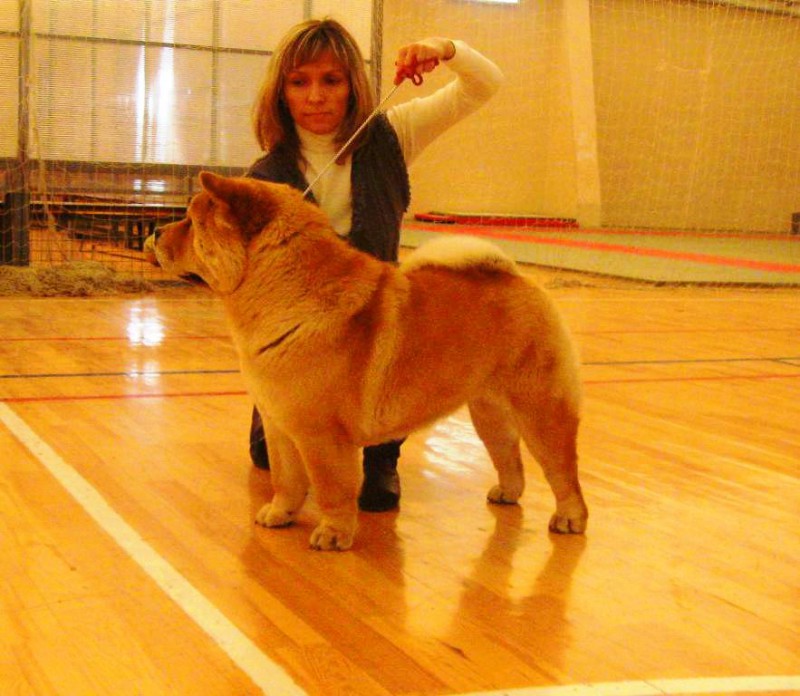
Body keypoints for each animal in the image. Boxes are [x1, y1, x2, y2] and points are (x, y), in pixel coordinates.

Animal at [148, 172, 588, 550]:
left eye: (191, 223)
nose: (155, 232)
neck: (282, 294)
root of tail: (519, 278)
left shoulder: (321, 436)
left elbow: (331, 489)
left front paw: (333, 535)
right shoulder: (279, 425)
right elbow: (286, 479)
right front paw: (279, 514)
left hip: (540, 411)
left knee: (562, 469)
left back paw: (569, 519)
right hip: (488, 412)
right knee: (509, 456)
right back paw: (506, 494)